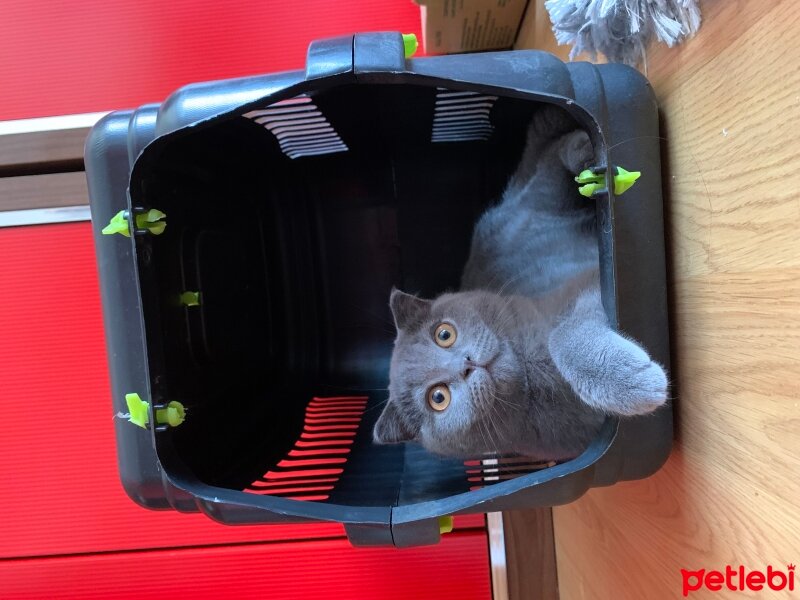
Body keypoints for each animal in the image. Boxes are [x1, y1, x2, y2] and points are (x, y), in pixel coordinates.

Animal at [376, 105, 668, 460]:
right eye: (438, 398)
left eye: (443, 334)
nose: (466, 364)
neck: (533, 373)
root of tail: (501, 209)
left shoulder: (586, 281)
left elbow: (561, 335)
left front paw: (630, 383)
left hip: (539, 202)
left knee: (549, 161)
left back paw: (586, 154)